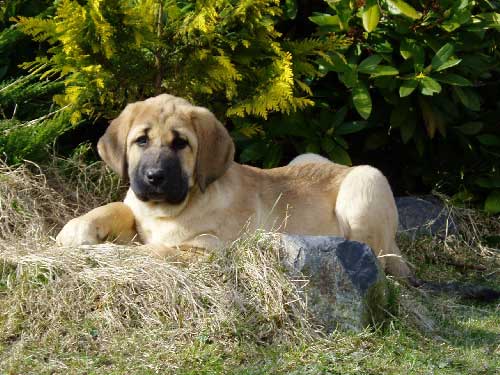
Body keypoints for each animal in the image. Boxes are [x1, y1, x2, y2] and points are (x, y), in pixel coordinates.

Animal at [56, 94, 412, 280]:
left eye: (181, 143)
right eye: (141, 141)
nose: (155, 177)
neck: (169, 209)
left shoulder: (209, 248)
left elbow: (155, 250)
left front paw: (109, 252)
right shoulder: (137, 210)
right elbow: (115, 208)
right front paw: (76, 230)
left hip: (367, 180)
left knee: (376, 260)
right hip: (306, 157)